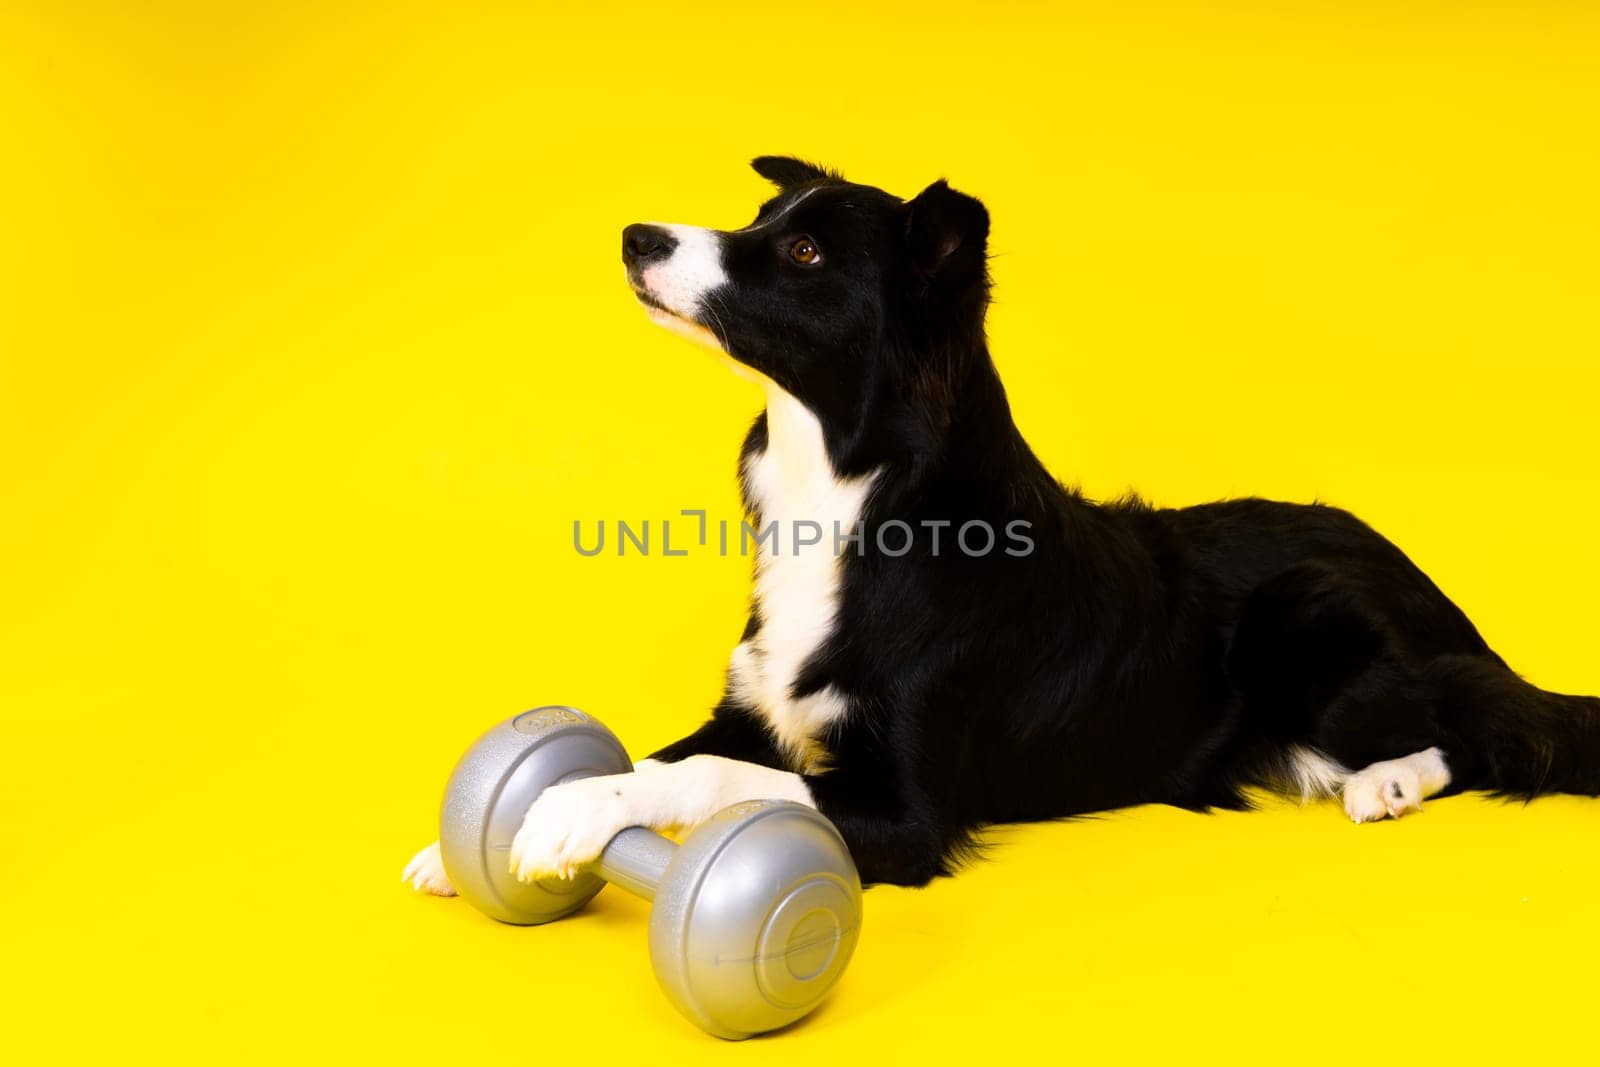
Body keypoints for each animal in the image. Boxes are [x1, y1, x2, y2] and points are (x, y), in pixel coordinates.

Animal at [403, 158, 1600, 895]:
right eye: (759, 222)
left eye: (803, 256)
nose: (634, 234)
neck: (850, 496)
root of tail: (1418, 571)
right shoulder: (747, 709)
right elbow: (659, 756)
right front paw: (502, 825)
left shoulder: (908, 811)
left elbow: (710, 781)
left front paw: (563, 818)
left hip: (1306, 613)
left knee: (1488, 725)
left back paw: (1388, 778)